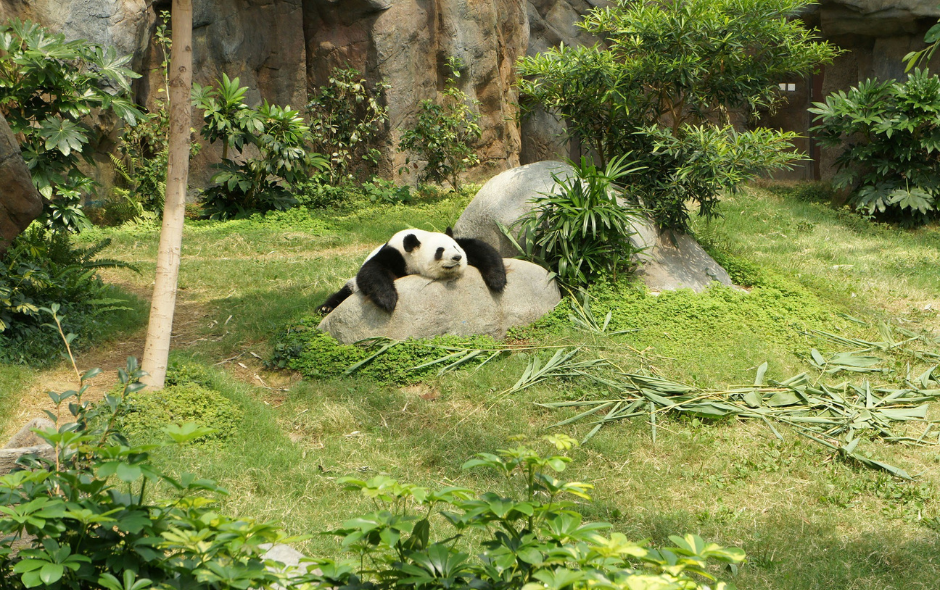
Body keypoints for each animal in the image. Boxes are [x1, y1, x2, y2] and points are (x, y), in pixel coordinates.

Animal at [319, 227, 506, 314]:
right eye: (440, 251)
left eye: (455, 248)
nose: (457, 258)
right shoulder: (394, 254)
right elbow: (371, 271)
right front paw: (387, 300)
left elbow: (482, 248)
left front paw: (497, 281)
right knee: (346, 290)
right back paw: (325, 308)